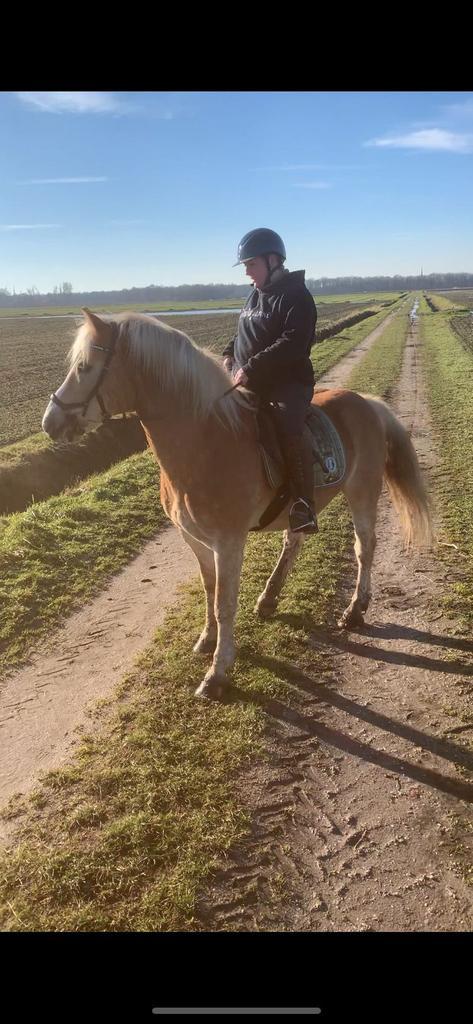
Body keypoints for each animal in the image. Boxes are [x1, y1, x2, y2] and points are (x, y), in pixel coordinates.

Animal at [42, 308, 432, 700]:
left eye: (85, 367)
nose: (50, 423)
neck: (205, 441)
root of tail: (366, 402)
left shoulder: (228, 541)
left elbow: (225, 603)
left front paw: (217, 673)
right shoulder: (195, 540)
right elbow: (209, 589)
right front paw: (207, 639)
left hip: (362, 491)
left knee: (364, 547)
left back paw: (354, 611)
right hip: (303, 506)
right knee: (294, 540)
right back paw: (269, 599)